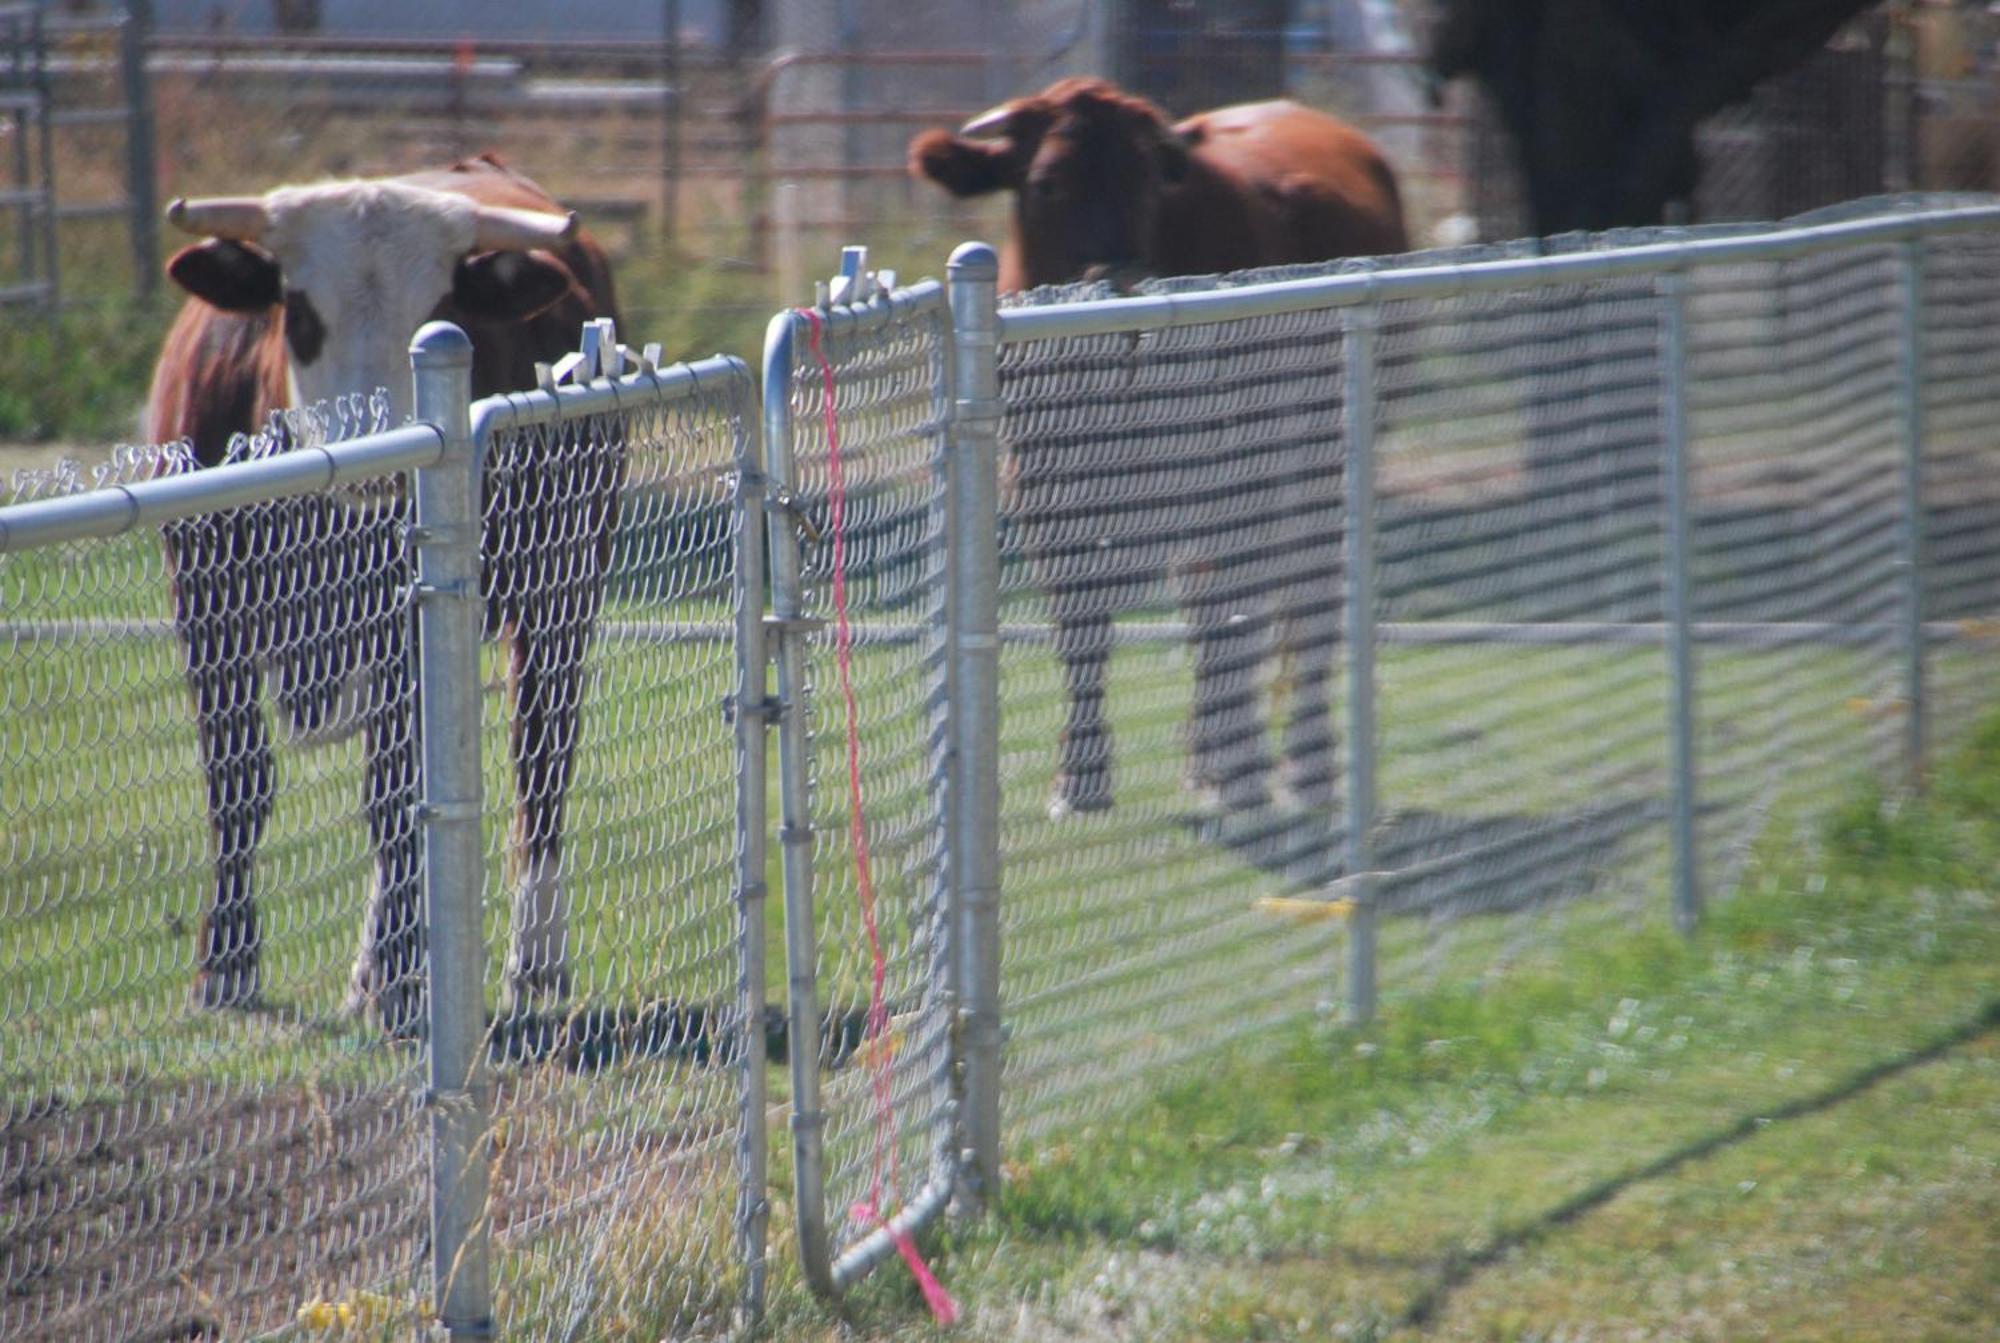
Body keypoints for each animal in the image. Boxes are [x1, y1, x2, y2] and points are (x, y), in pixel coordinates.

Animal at [149, 159, 620, 1039]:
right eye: (299, 312)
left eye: (440, 316)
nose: (378, 454)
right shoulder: (205, 605)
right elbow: (239, 782)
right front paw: (224, 966)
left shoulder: (406, 621)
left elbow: (398, 798)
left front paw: (405, 981)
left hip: (563, 591)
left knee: (540, 759)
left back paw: (531, 959)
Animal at [916, 83, 1408, 823]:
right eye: (1045, 182)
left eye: (1148, 181)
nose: (1122, 278)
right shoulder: (1041, 488)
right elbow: (1082, 624)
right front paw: (1080, 779)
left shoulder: (1225, 479)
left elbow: (1226, 617)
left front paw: (1238, 773)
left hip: (1326, 462)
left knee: (1302, 603)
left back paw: (1300, 768)